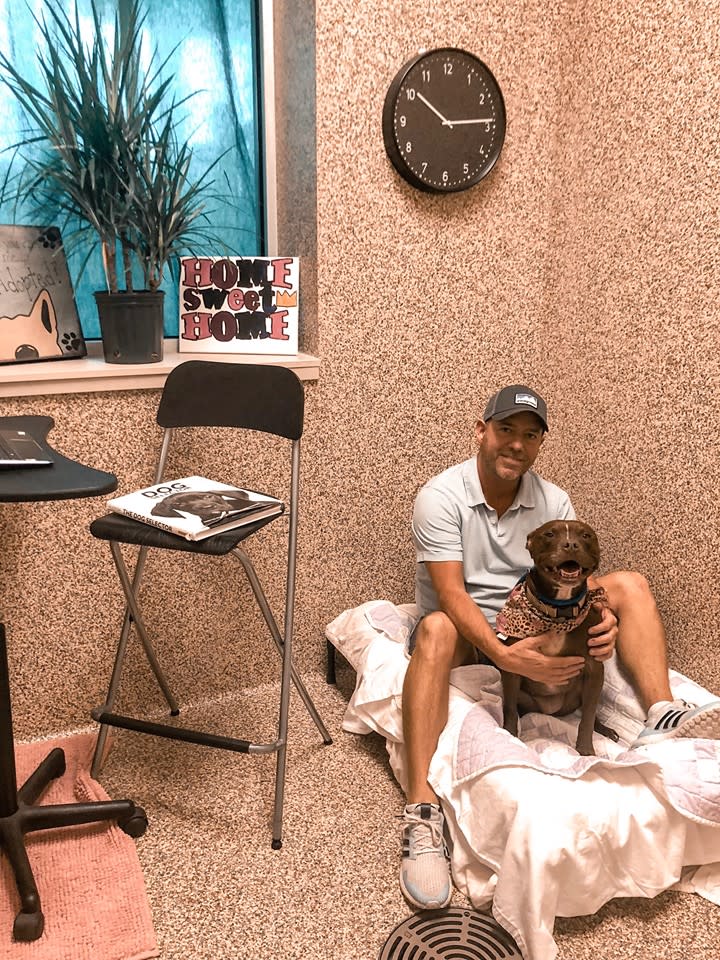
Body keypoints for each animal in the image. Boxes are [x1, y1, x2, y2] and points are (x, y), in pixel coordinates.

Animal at [496, 520, 620, 752]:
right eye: (549, 534)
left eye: (586, 535)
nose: (570, 544)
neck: (559, 611)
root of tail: (552, 711)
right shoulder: (513, 666)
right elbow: (508, 708)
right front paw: (509, 735)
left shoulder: (594, 669)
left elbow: (587, 718)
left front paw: (586, 750)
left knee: (592, 712)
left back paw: (606, 730)